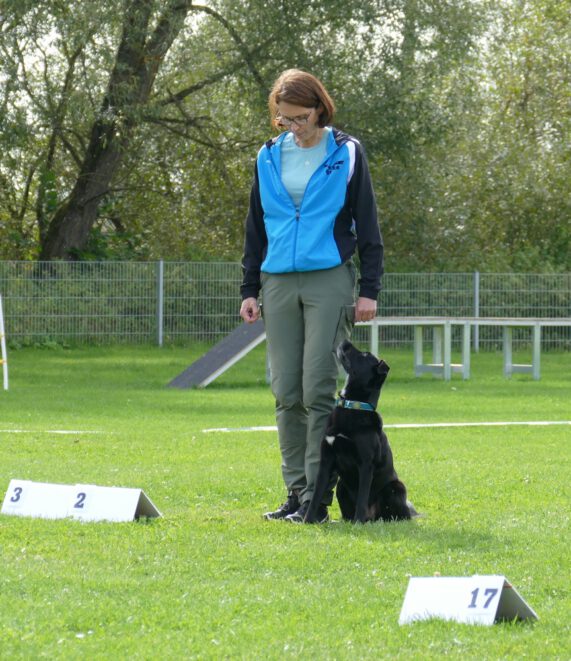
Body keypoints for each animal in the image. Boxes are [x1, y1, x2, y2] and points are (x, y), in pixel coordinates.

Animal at [305, 339, 414, 524]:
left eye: (364, 355)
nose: (345, 341)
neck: (352, 405)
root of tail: (374, 517)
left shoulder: (366, 463)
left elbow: (362, 496)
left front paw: (358, 522)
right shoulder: (326, 460)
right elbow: (316, 495)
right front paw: (307, 519)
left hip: (395, 487)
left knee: (399, 515)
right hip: (341, 485)